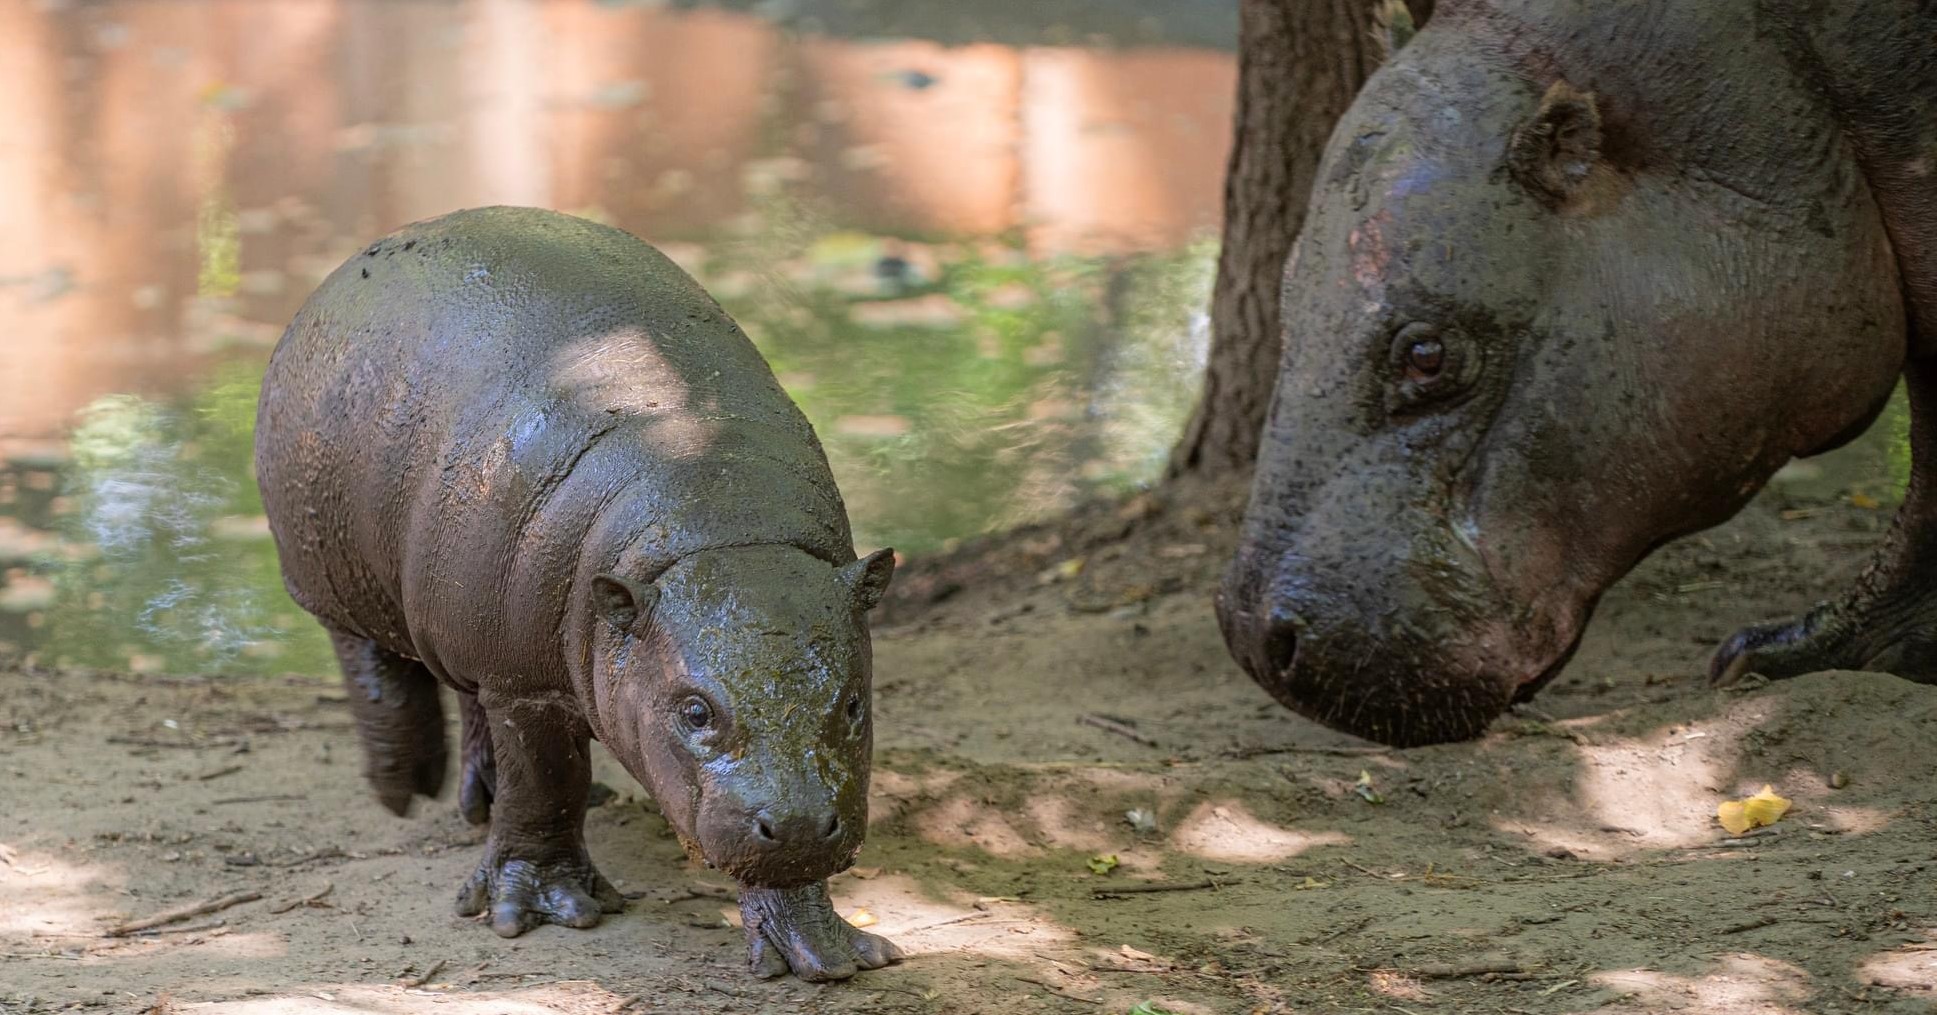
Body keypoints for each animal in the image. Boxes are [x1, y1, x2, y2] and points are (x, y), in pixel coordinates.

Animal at [254, 206, 901, 980]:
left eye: (855, 702)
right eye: (694, 710)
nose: (802, 823)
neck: (721, 523)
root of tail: (354, 263)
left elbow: (771, 854)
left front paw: (832, 952)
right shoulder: (526, 683)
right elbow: (543, 779)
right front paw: (542, 910)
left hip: (463, 613)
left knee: (465, 694)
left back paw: (482, 801)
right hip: (333, 573)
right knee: (375, 669)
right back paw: (405, 789)